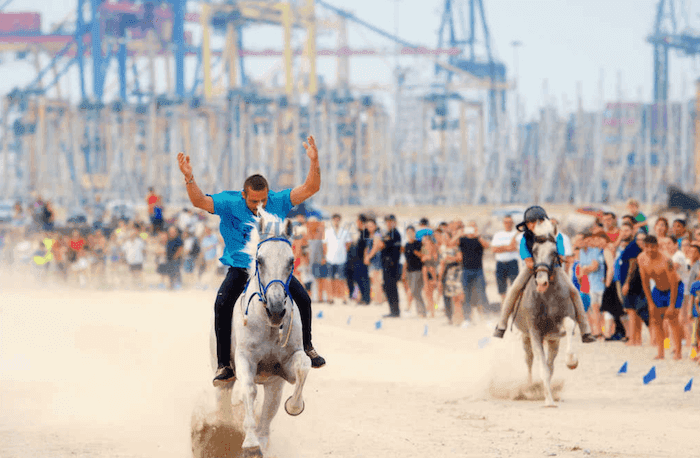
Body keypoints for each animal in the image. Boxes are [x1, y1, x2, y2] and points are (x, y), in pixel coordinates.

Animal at [209, 208, 310, 458]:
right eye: (259, 260)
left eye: (291, 261)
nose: (276, 309)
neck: (268, 324)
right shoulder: (245, 359)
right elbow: (249, 390)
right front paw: (250, 443)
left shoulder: (286, 367)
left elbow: (303, 367)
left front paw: (294, 406)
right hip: (223, 376)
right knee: (224, 399)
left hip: (274, 384)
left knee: (267, 414)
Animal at [512, 219, 576, 408]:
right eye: (533, 251)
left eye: (554, 252)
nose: (541, 282)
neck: (547, 296)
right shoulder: (534, 332)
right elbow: (542, 367)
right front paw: (548, 400)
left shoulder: (558, 330)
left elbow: (569, 325)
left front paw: (572, 362)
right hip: (526, 337)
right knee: (530, 360)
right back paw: (530, 388)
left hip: (553, 341)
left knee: (550, 364)